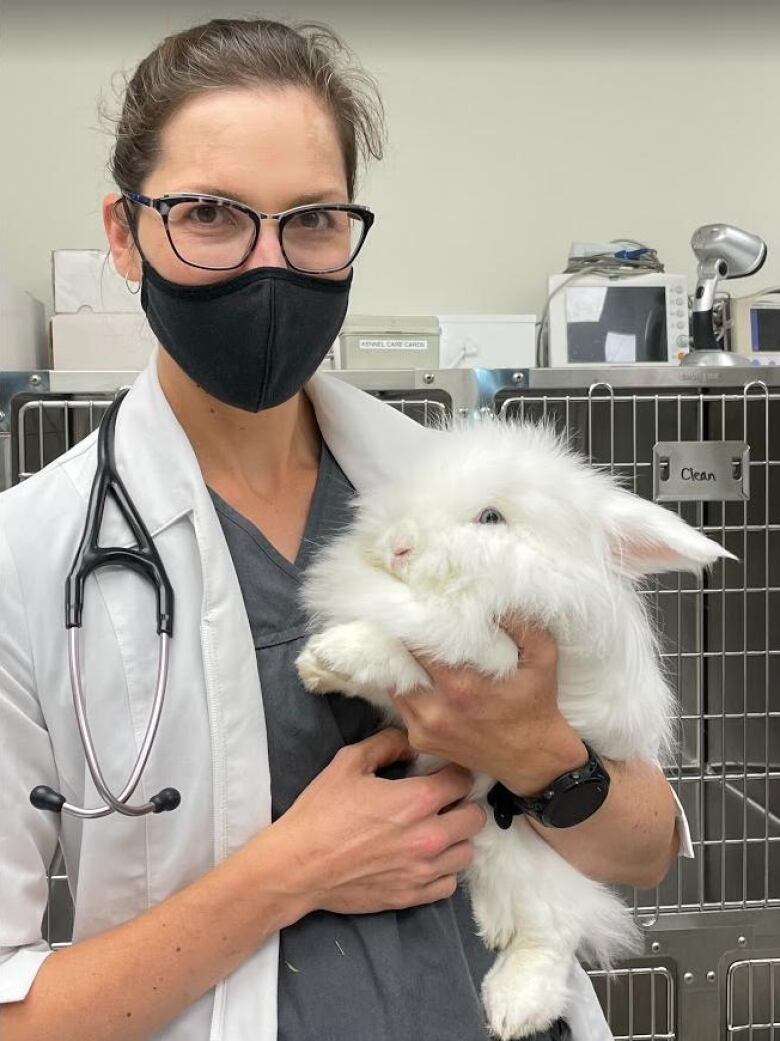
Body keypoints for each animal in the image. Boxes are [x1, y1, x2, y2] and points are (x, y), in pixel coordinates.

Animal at [295, 418, 728, 1036]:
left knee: (555, 931)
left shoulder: (486, 653)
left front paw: (340, 650)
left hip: (545, 869)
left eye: (491, 517)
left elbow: (418, 648)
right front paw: (318, 666)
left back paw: (514, 1007)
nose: (398, 547)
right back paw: (492, 926)